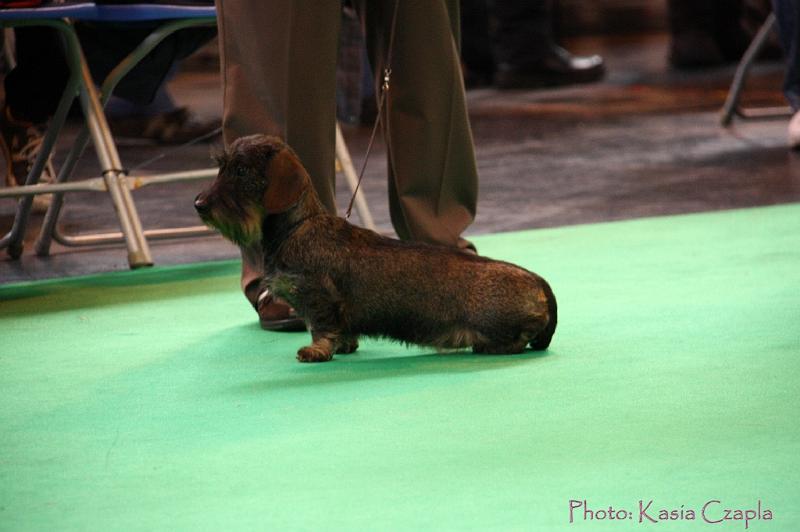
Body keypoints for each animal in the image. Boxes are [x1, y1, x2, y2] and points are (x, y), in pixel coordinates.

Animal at [195, 135, 556, 364]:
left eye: (241, 170)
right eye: (221, 167)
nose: (198, 205)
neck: (297, 228)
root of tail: (539, 281)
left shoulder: (317, 296)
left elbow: (321, 326)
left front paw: (316, 351)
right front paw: (344, 346)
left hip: (494, 322)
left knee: (517, 338)